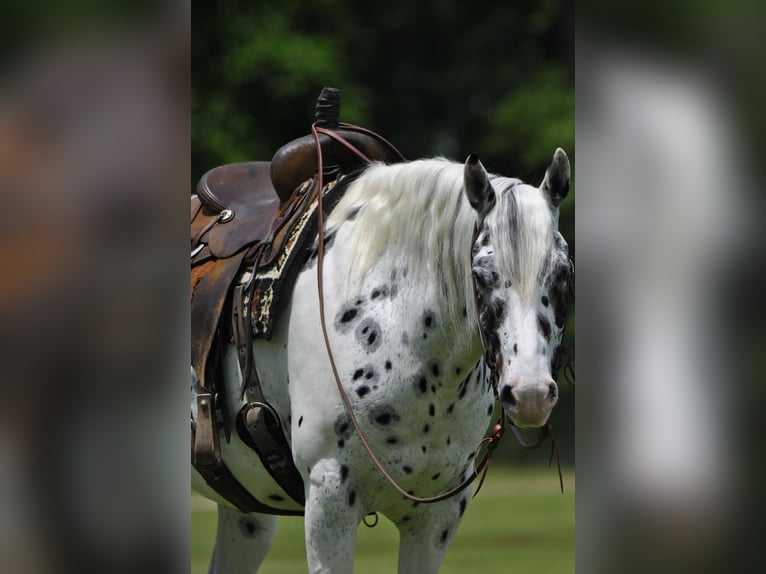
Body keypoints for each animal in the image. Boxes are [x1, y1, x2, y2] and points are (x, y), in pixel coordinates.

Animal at [192, 148, 573, 573]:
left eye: (563, 273)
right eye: (481, 275)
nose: (530, 395)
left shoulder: (436, 518)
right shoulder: (329, 502)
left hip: (248, 517)